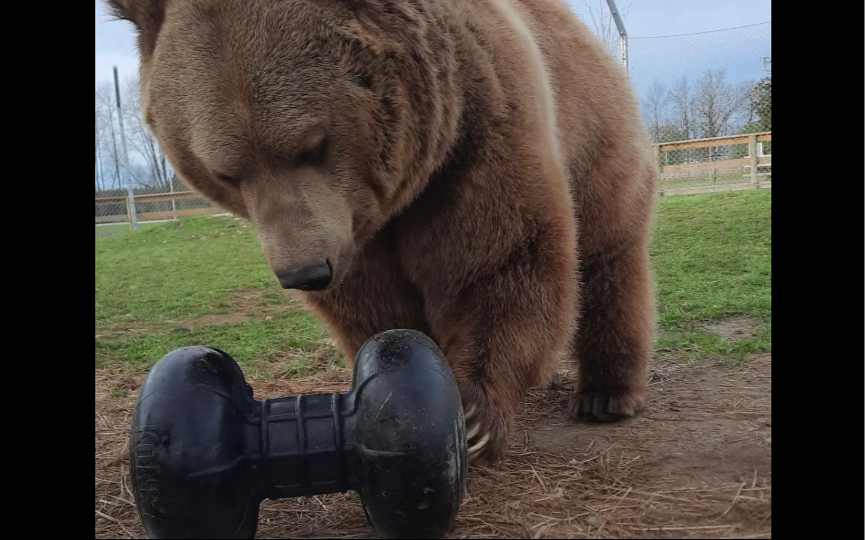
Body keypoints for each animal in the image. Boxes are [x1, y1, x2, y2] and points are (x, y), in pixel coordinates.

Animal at [106, 0, 656, 466]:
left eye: (312, 144)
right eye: (225, 172)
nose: (305, 272)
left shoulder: (478, 130)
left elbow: (500, 261)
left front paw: (474, 413)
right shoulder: (356, 235)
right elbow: (376, 308)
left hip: (596, 137)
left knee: (609, 262)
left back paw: (606, 394)